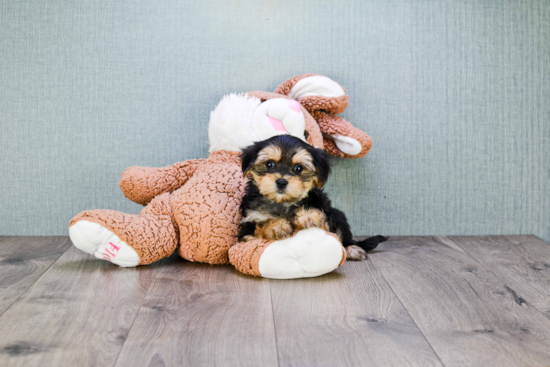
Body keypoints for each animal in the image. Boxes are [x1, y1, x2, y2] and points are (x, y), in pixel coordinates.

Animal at [239, 135, 390, 262]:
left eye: (298, 168)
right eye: (269, 164)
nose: (281, 182)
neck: (284, 203)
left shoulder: (325, 216)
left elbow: (322, 221)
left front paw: (308, 215)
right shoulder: (247, 229)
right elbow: (260, 226)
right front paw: (276, 225)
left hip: (338, 215)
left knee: (343, 238)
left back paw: (352, 249)